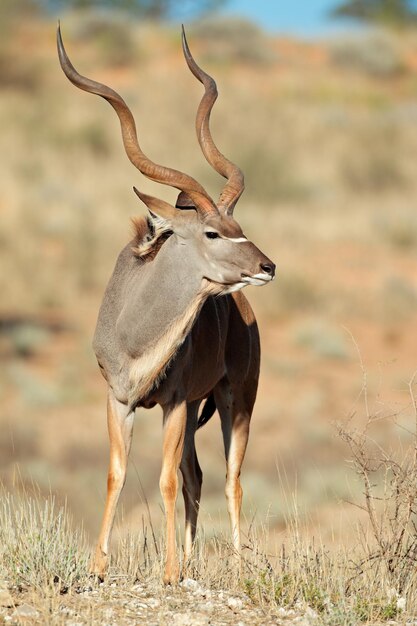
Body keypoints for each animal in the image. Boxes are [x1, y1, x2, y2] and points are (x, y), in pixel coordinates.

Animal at [57, 23, 274, 580]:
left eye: (240, 226)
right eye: (214, 232)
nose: (268, 266)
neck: (136, 335)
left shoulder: (173, 402)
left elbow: (167, 478)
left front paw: (171, 571)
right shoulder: (119, 400)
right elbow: (118, 473)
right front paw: (99, 565)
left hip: (235, 398)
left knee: (230, 478)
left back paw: (234, 565)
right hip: (201, 405)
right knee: (198, 474)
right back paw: (196, 557)